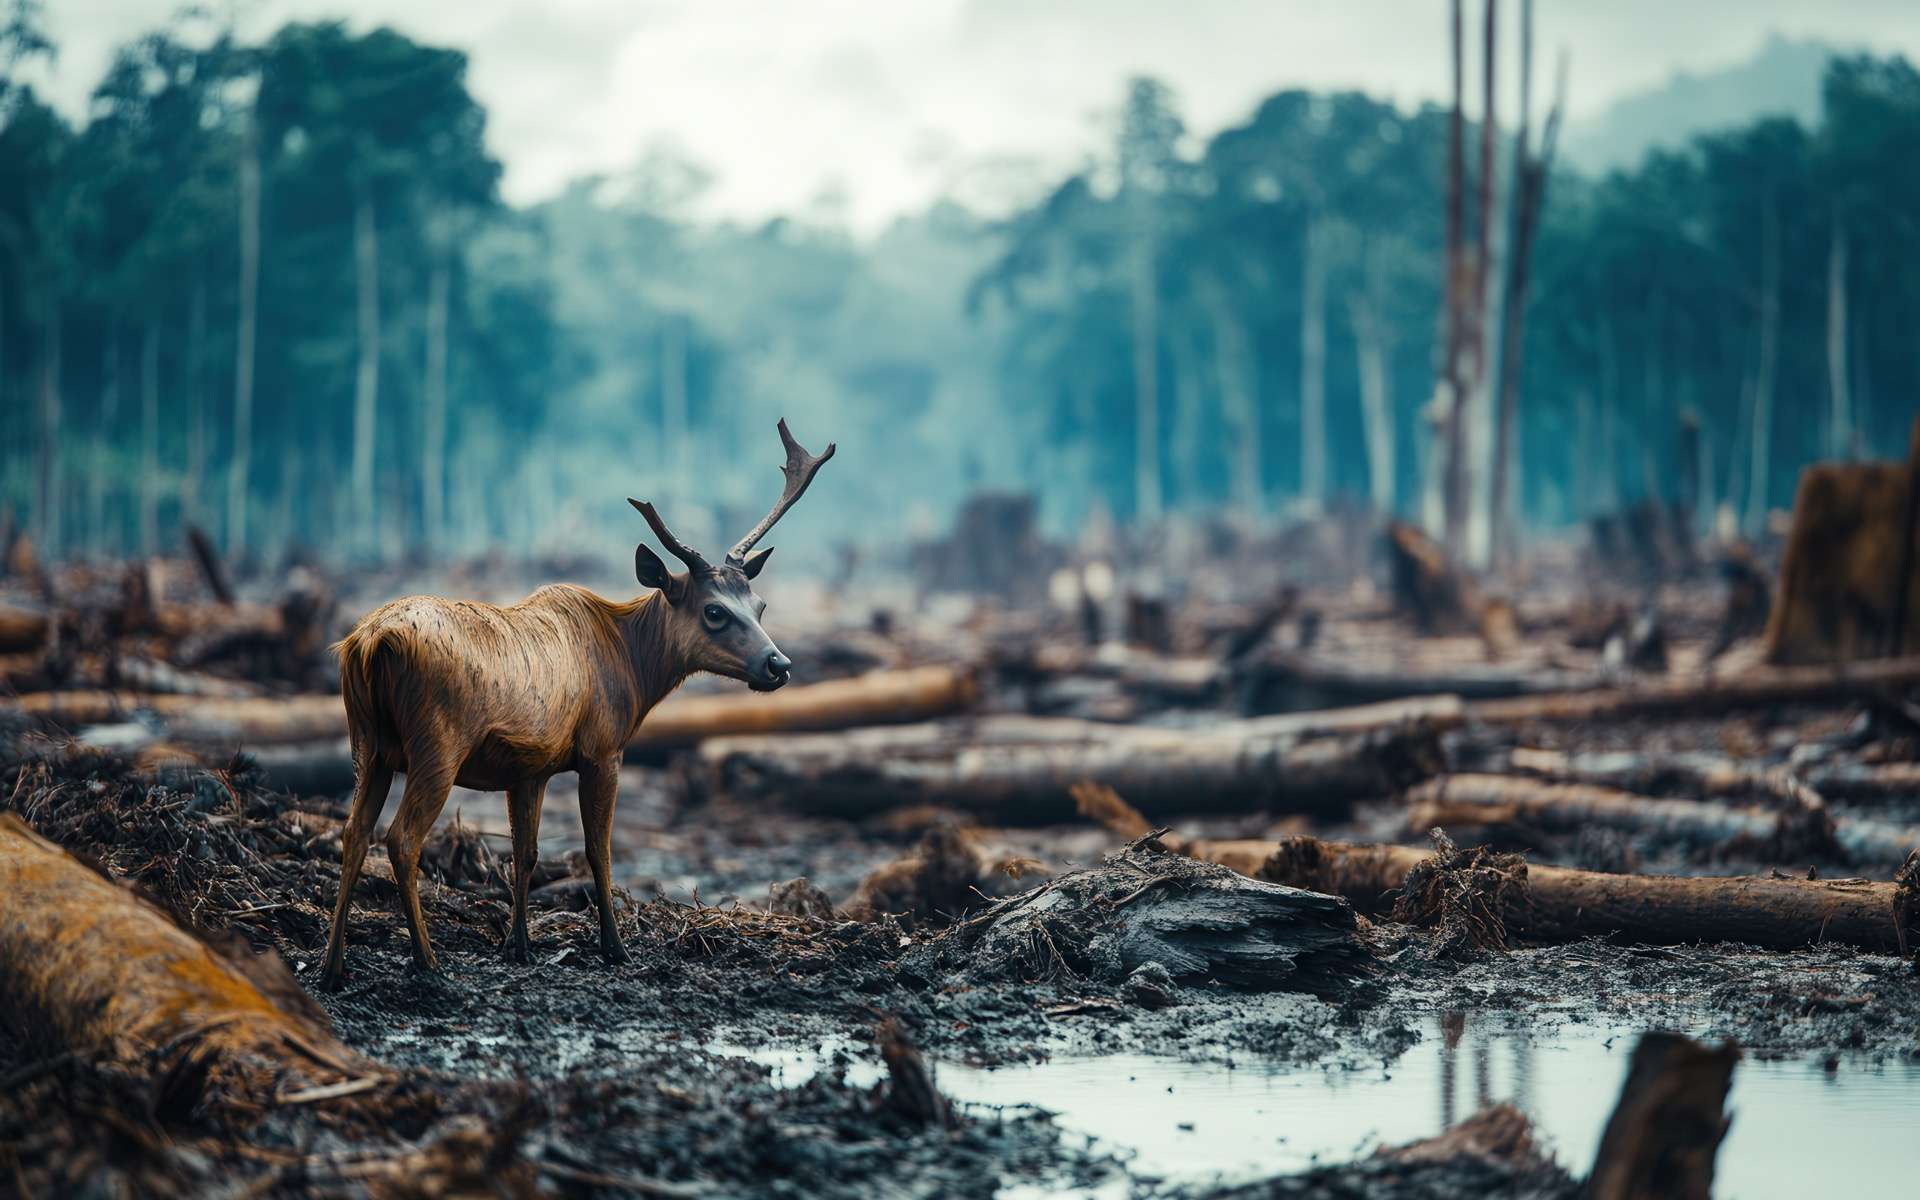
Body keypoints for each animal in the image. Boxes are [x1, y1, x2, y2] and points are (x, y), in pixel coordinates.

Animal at [320, 418, 833, 983]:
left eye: (759, 605)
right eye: (715, 612)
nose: (778, 665)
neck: (633, 669)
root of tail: (369, 644)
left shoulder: (530, 767)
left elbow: (525, 853)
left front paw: (518, 946)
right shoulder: (603, 749)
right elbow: (597, 850)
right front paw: (616, 948)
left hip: (367, 744)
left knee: (352, 834)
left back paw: (333, 966)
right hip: (437, 744)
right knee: (401, 839)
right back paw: (427, 960)